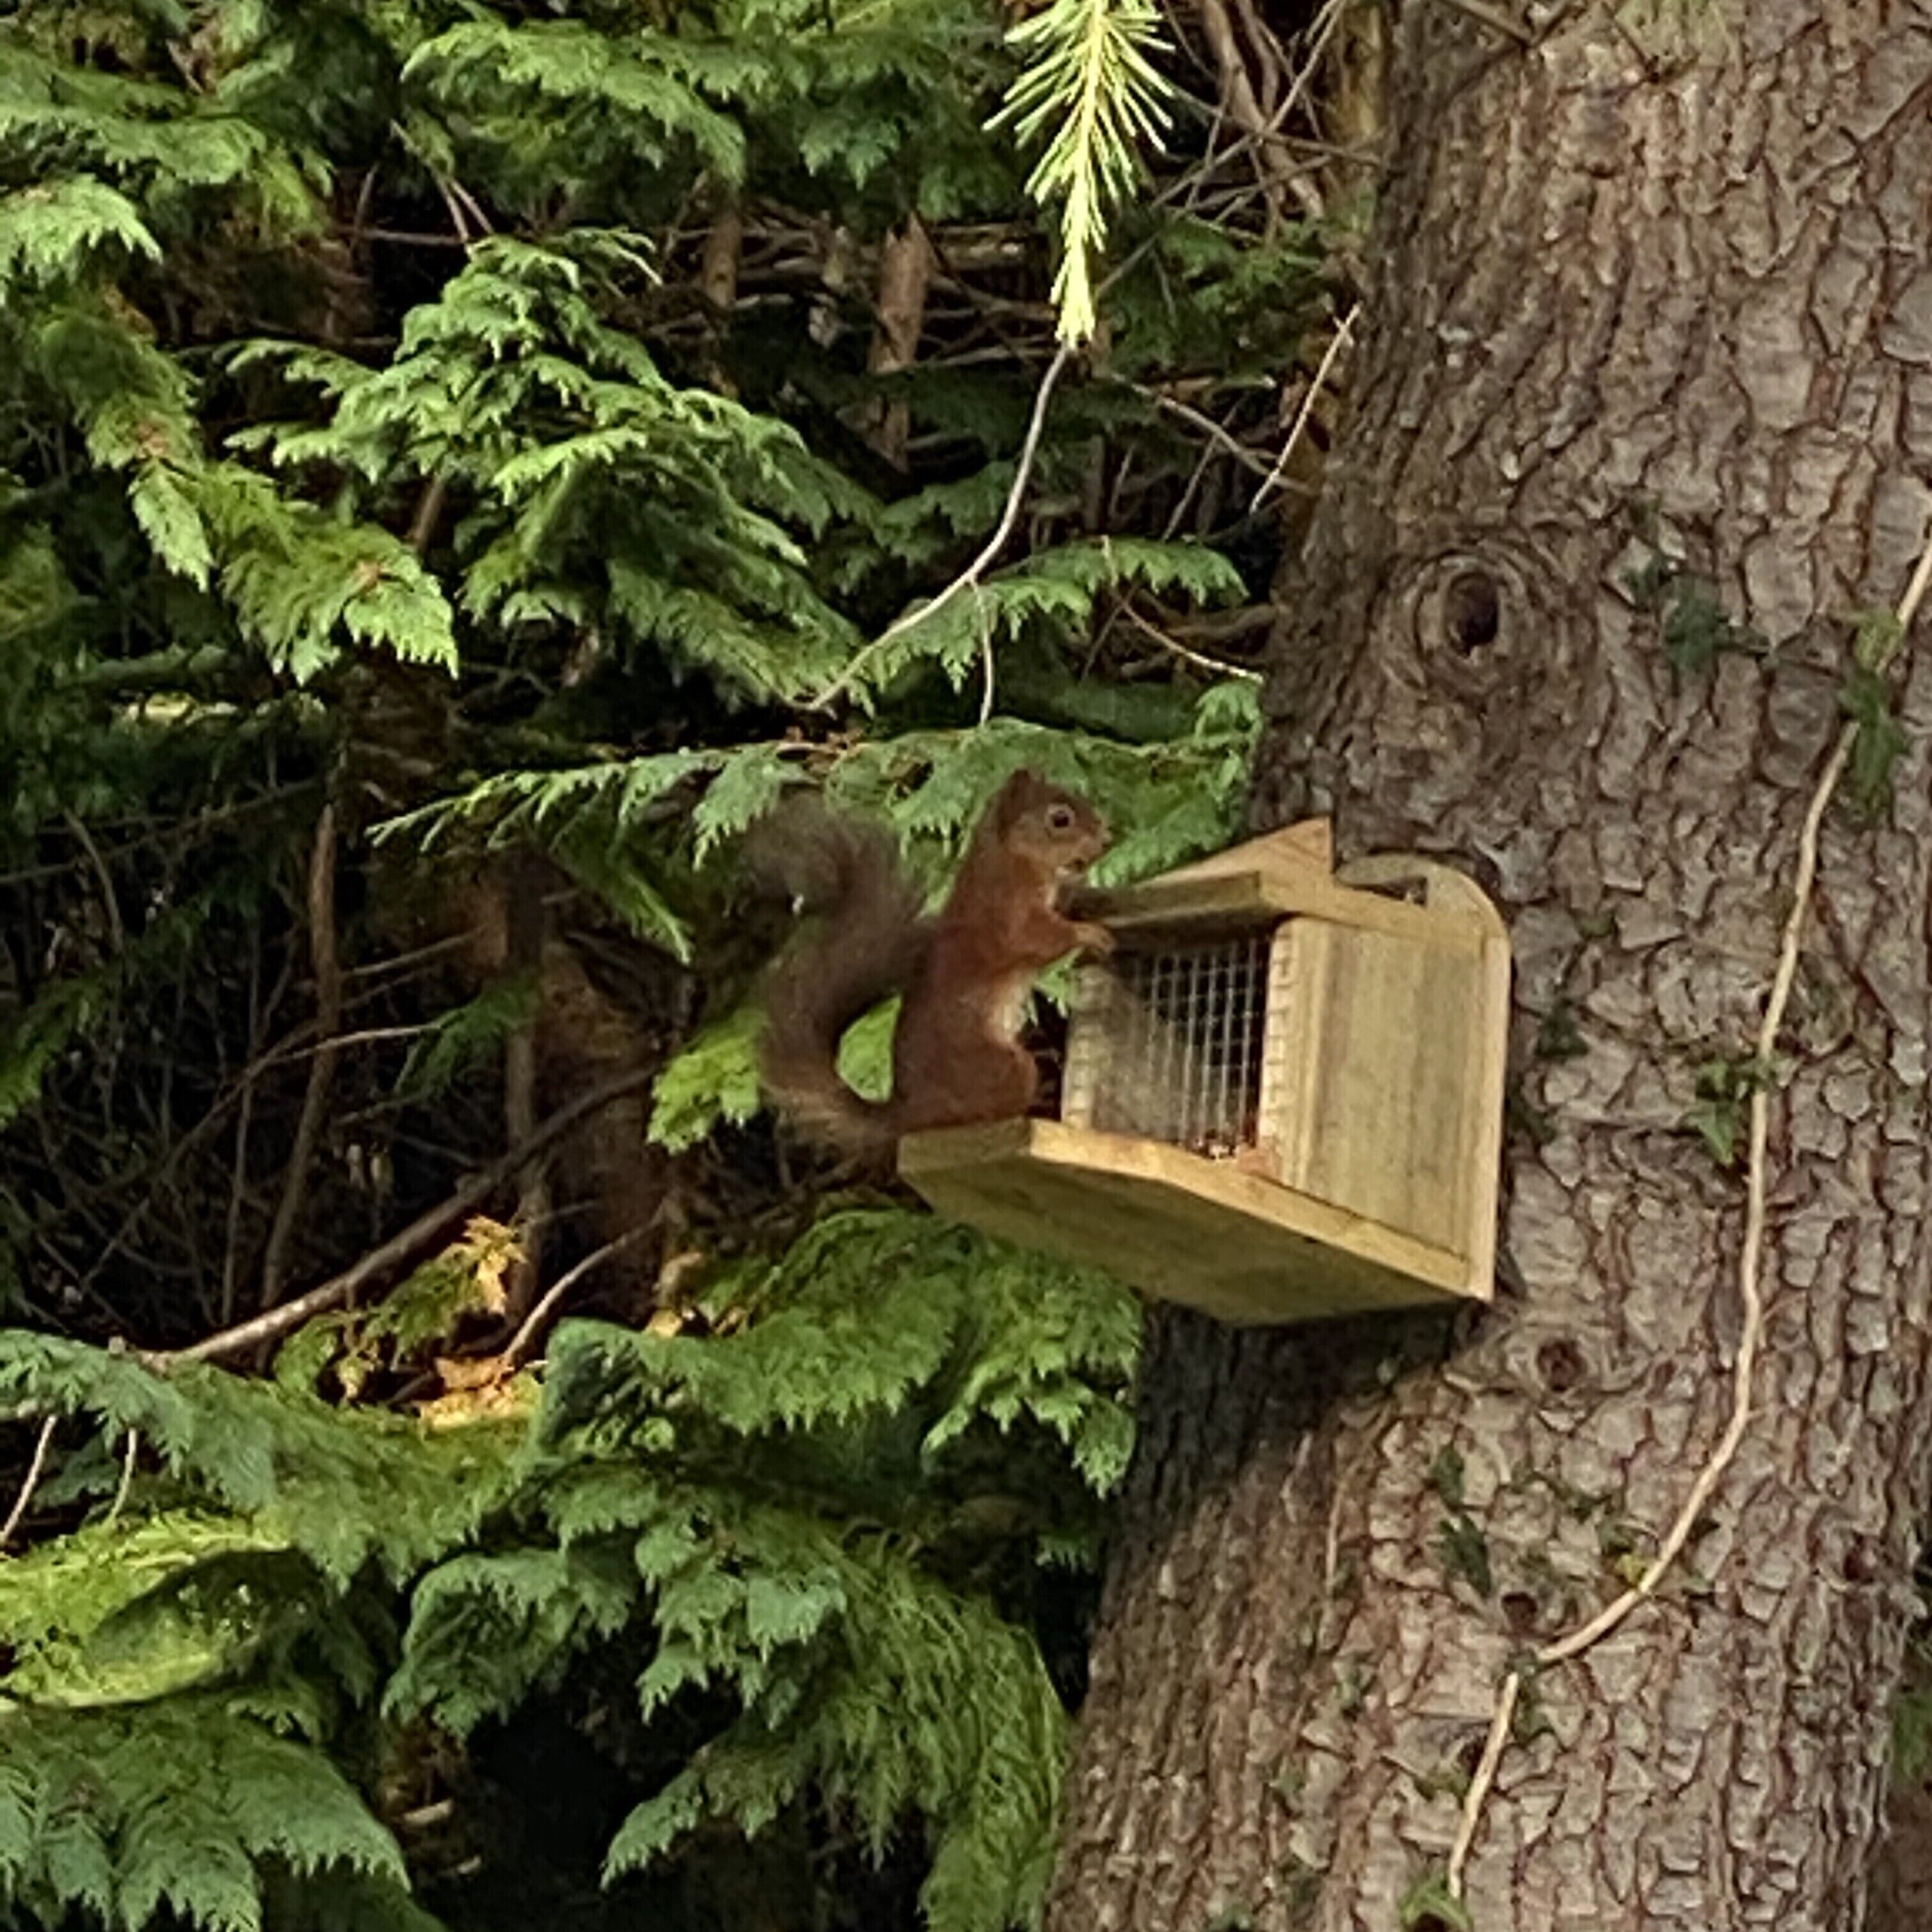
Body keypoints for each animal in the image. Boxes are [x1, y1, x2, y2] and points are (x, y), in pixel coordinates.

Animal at [757, 770, 1113, 1154]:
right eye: (1060, 818)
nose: (1107, 839)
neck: (1010, 857)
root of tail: (907, 1114)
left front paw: (1086, 898)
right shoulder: (1009, 912)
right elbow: (1042, 938)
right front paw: (1089, 933)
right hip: (1004, 1069)